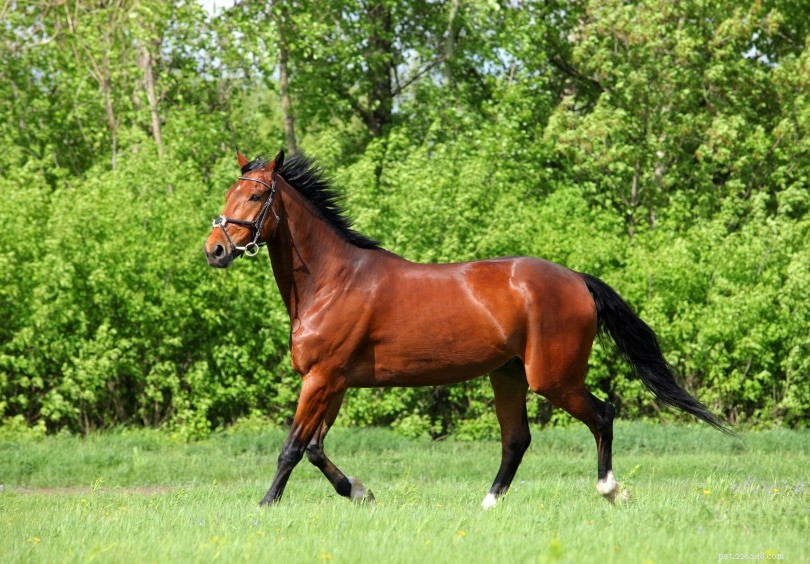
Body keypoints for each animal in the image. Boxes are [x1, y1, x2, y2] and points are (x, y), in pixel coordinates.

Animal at [204, 149, 731, 508]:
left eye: (256, 195)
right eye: (229, 194)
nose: (215, 250)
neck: (333, 280)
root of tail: (577, 280)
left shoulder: (321, 378)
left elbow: (292, 448)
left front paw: (265, 505)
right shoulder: (333, 382)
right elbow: (314, 448)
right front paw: (359, 492)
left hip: (552, 378)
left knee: (601, 414)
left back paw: (609, 489)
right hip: (508, 374)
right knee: (517, 439)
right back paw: (489, 502)